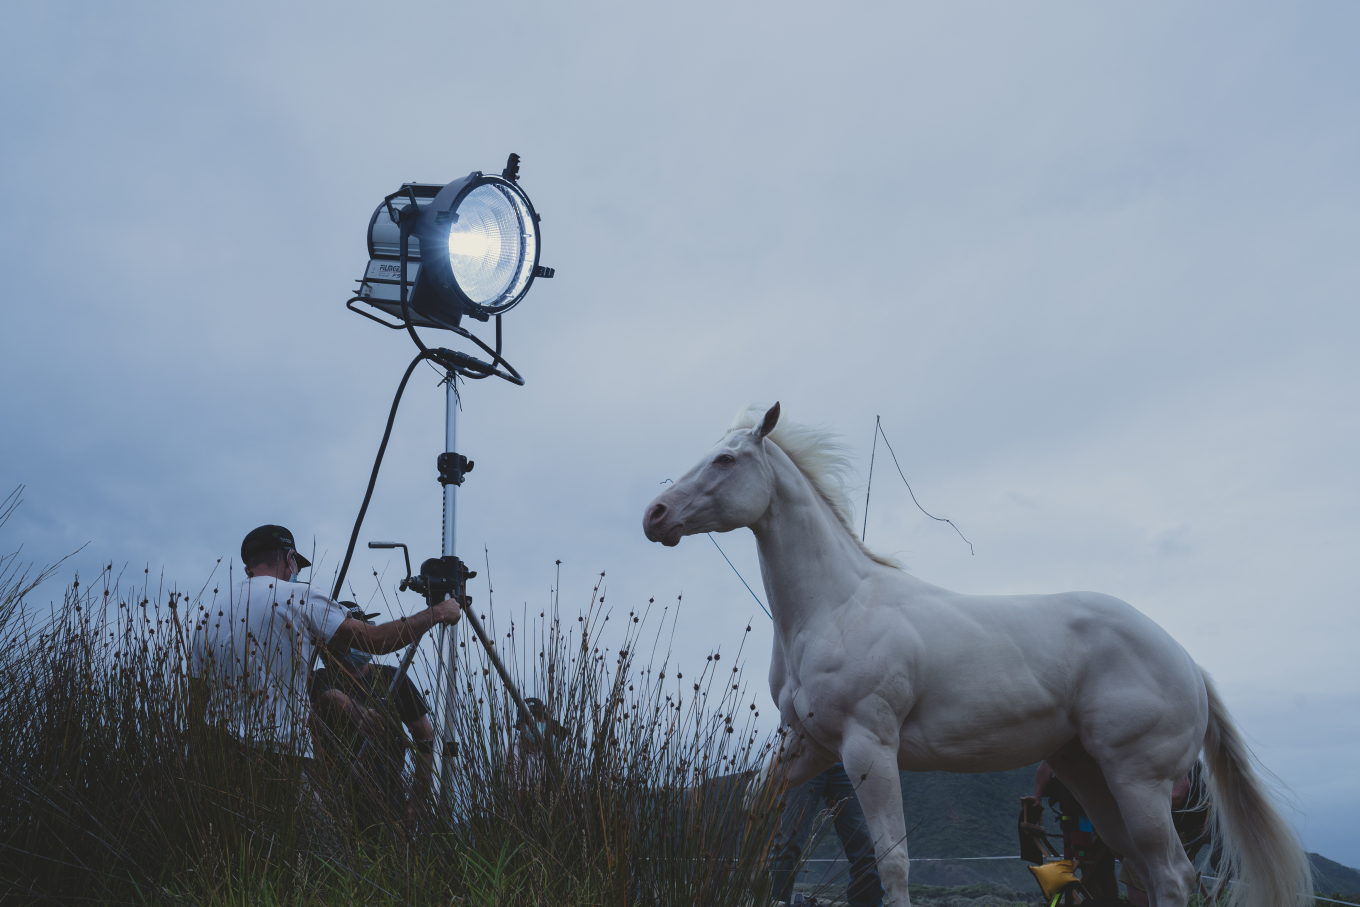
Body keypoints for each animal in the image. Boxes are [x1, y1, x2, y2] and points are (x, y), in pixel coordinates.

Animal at [641, 405, 1311, 907]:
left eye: (726, 459)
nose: (655, 515)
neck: (839, 607)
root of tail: (1187, 662)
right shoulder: (805, 747)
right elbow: (755, 826)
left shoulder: (868, 746)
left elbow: (894, 864)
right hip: (1091, 778)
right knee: (1139, 873)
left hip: (1138, 781)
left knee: (1172, 874)